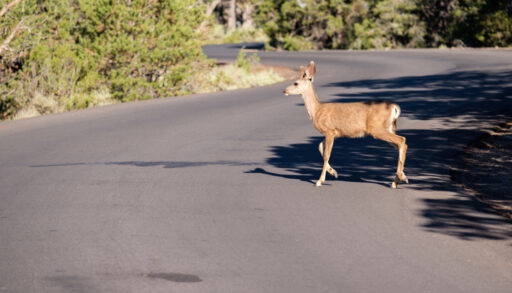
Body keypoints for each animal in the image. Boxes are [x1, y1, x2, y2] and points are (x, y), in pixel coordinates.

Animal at [282, 61, 410, 187]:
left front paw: (320, 180)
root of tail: (394, 107)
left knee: (402, 140)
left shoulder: (330, 130)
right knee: (401, 144)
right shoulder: (334, 133)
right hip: (388, 128)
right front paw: (333, 172)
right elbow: (320, 147)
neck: (317, 110)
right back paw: (399, 179)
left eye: (295, 83)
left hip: (377, 128)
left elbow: (326, 154)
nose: (284, 91)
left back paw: (399, 178)